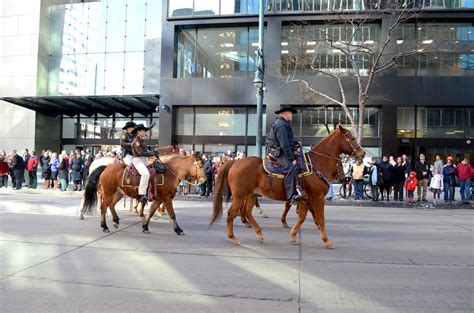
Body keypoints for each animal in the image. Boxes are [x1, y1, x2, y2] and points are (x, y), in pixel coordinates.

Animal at [209, 124, 364, 246]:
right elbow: (320, 219)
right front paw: (326, 240)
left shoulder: (305, 199)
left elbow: (302, 217)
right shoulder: (318, 198)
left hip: (252, 195)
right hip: (240, 196)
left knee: (247, 212)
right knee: (231, 213)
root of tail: (235, 161)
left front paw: (294, 235)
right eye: (352, 138)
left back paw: (259, 233)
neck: (317, 163)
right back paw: (233, 237)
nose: (362, 153)